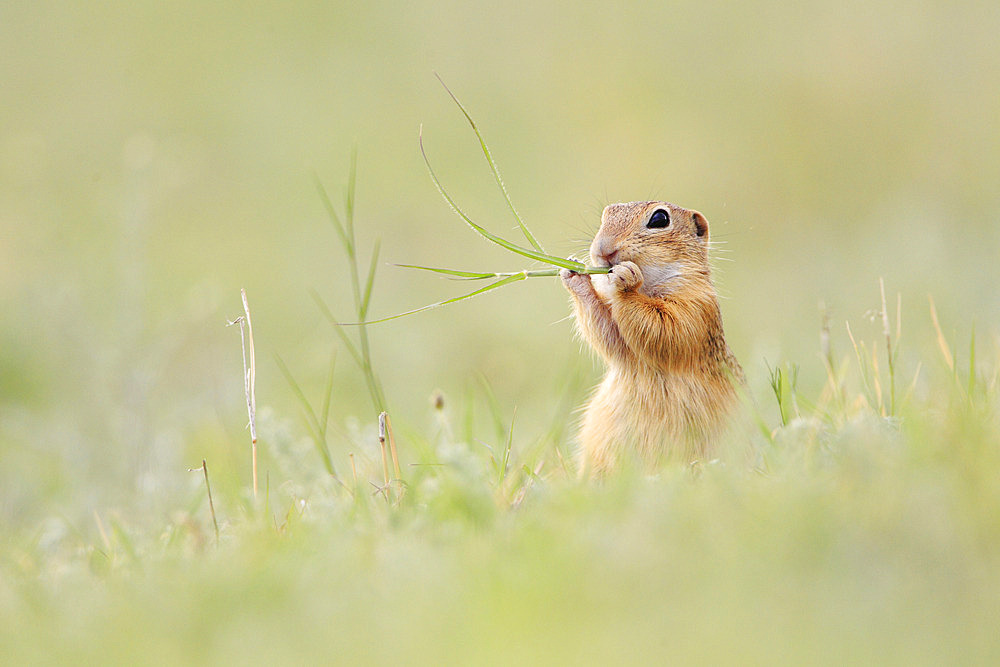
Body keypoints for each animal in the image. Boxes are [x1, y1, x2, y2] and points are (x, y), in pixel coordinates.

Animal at [564, 200, 744, 474]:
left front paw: (626, 280)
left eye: (659, 219)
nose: (603, 250)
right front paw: (574, 273)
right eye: (606, 215)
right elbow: (608, 333)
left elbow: (665, 330)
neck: (648, 287)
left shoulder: (696, 306)